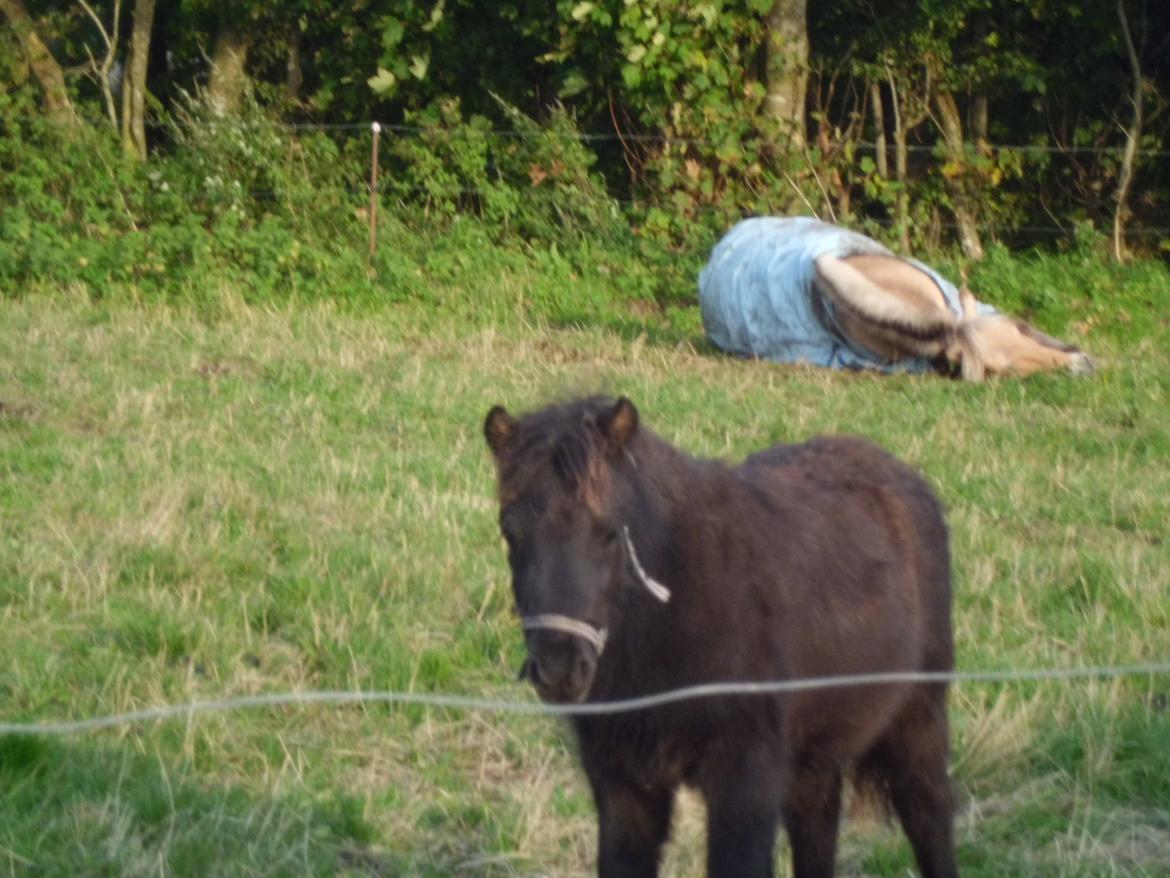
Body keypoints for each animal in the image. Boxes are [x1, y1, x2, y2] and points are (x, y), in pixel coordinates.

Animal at [484, 395, 959, 875]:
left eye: (608, 532)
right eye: (509, 533)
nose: (560, 668)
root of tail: (901, 475)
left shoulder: (744, 782)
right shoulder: (623, 783)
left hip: (918, 721)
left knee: (929, 816)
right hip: (813, 756)